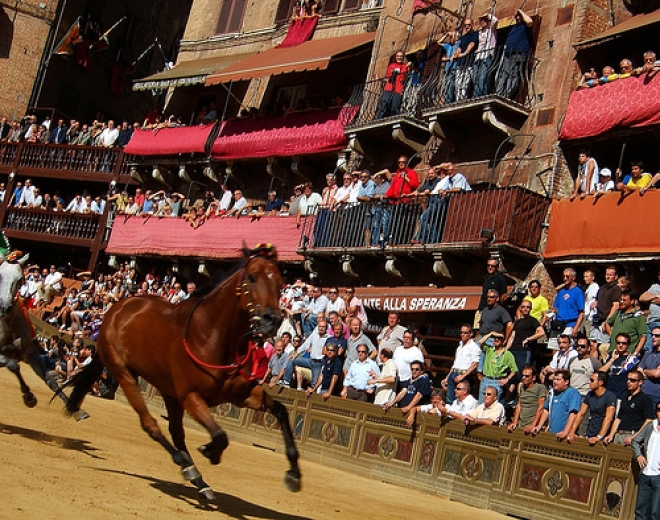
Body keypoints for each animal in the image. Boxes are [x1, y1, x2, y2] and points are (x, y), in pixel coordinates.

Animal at [0, 252, 86, 418]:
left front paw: (75, 410)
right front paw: (29, 397)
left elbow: (49, 379)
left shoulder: (30, 353)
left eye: (19, 279)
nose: (5, 307)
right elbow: (13, 365)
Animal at [65, 246, 302, 498]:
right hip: (125, 374)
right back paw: (186, 465)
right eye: (253, 276)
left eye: (280, 282)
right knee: (151, 425)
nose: (272, 320)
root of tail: (117, 309)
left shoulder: (241, 394)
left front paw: (294, 475)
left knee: (176, 431)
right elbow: (220, 436)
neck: (211, 336)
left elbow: (281, 411)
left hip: (168, 391)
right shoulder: (191, 396)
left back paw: (198, 478)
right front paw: (210, 450)